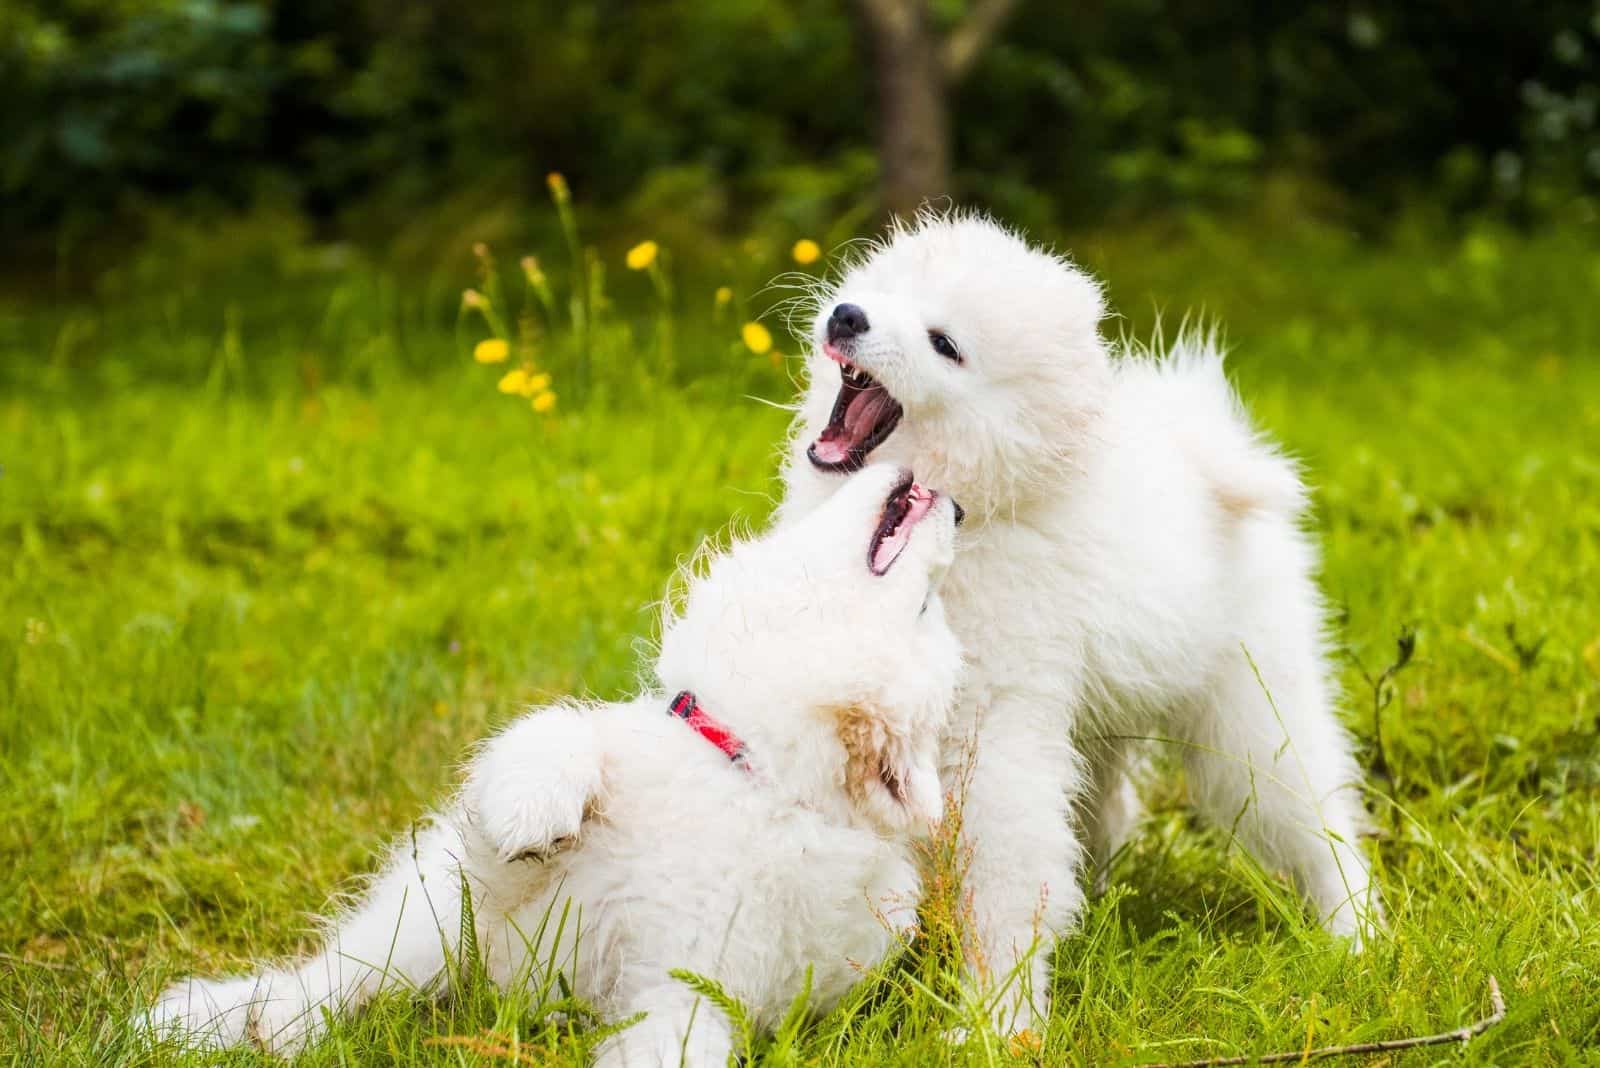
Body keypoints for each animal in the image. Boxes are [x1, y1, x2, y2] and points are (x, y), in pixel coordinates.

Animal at [144, 463, 960, 1061]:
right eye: (930, 605)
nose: (954, 505)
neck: (747, 769)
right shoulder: (496, 888)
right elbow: (555, 737)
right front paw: (532, 810)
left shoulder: (688, 991)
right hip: (427, 917)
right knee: (337, 977)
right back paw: (218, 1020)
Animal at [780, 211, 1382, 1036]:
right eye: (883, 290)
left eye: (944, 343)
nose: (847, 316)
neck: (972, 517)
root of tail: (1203, 449)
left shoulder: (994, 731)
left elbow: (1005, 882)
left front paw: (995, 1021)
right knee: (1107, 812)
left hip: (1253, 713)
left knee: (1318, 817)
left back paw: (1356, 933)